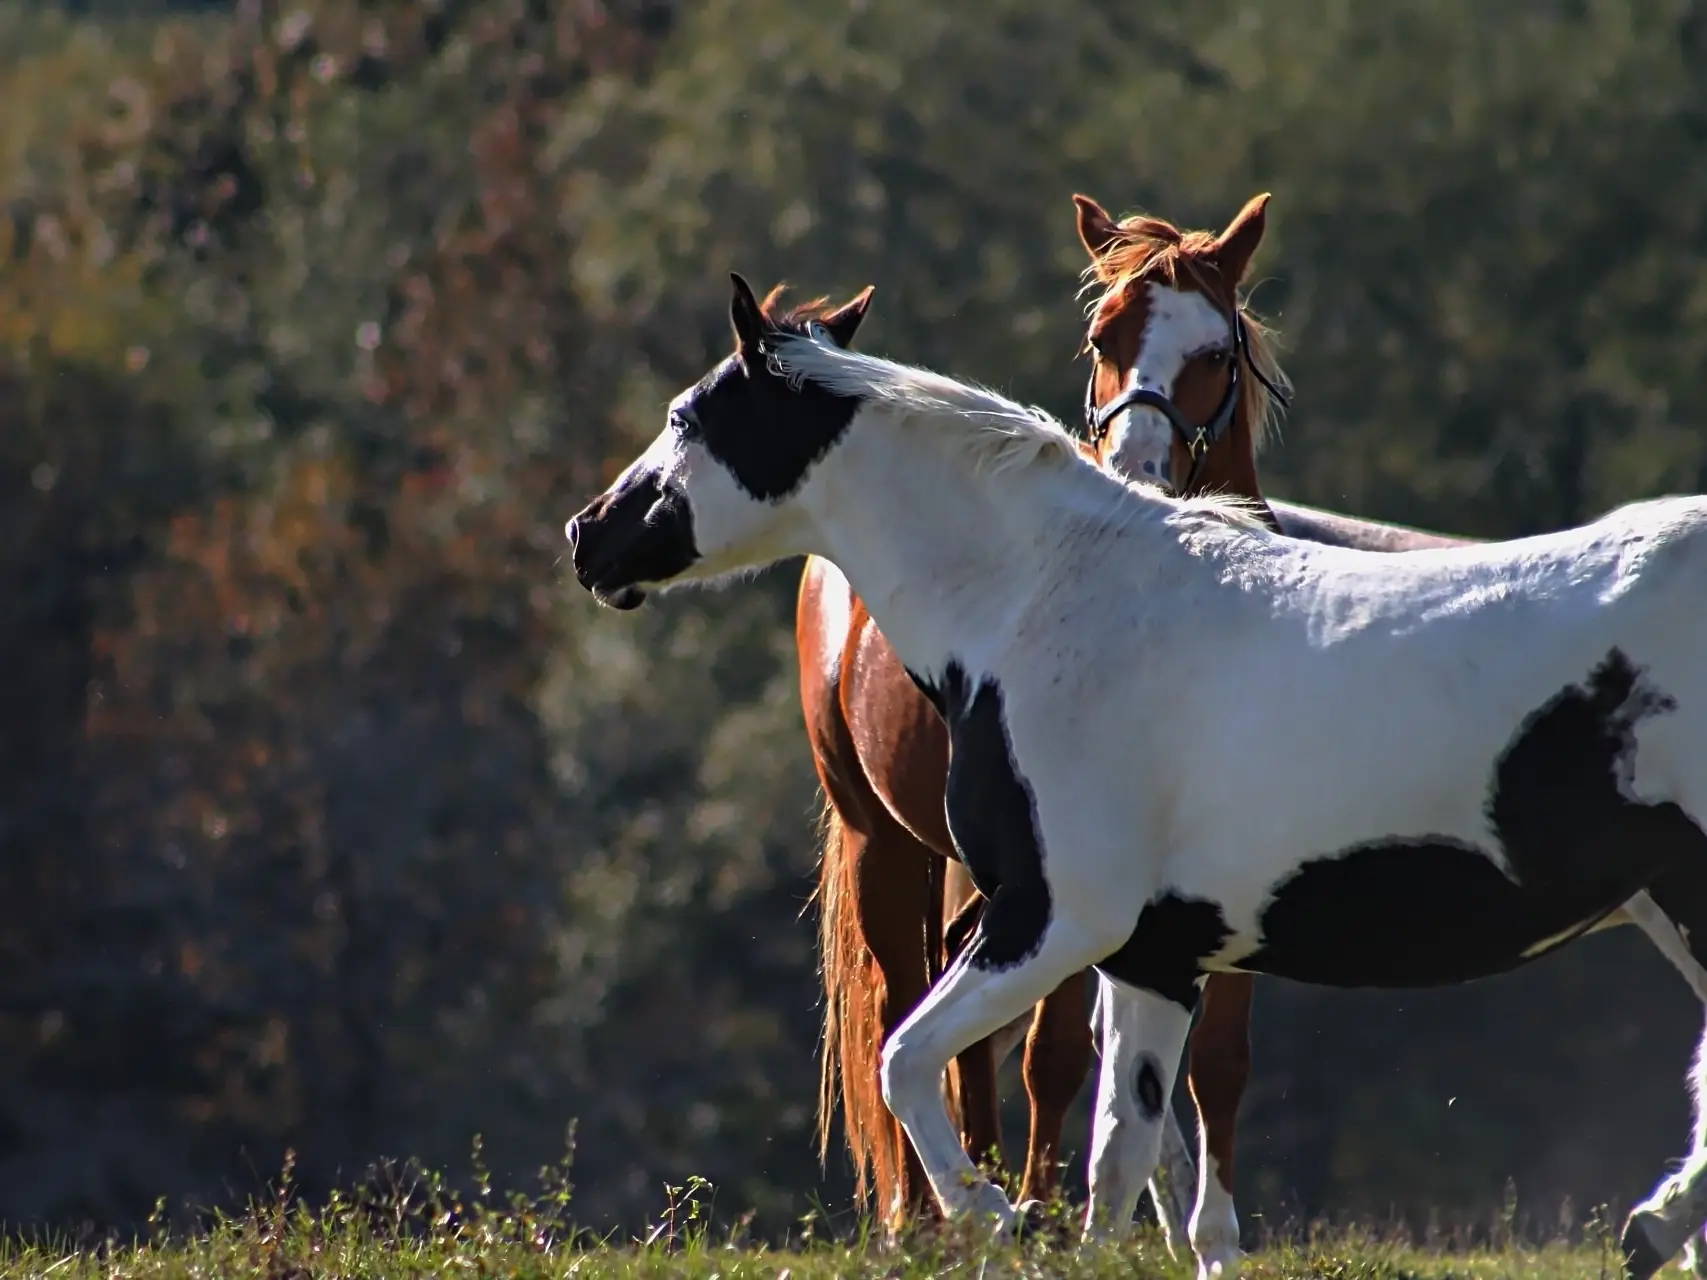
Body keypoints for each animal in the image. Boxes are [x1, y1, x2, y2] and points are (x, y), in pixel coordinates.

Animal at [566, 273, 1707, 1280]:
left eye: (687, 416)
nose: (588, 535)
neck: (1044, 601)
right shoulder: (1155, 954)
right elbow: (1117, 1161)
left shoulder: (1054, 919)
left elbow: (905, 1062)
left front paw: (993, 1215)